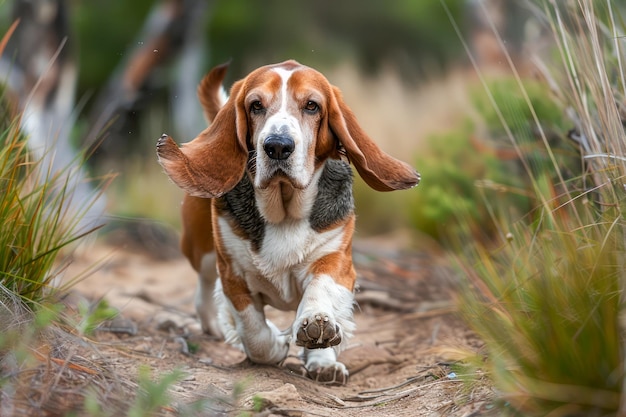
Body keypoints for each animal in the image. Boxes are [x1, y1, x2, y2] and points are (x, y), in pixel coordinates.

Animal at [156, 59, 420, 384]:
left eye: (312, 106)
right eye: (255, 105)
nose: (278, 146)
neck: (284, 210)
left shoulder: (336, 262)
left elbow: (321, 292)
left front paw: (318, 329)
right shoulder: (233, 274)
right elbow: (253, 331)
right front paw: (275, 344)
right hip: (201, 249)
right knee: (205, 287)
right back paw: (213, 324)